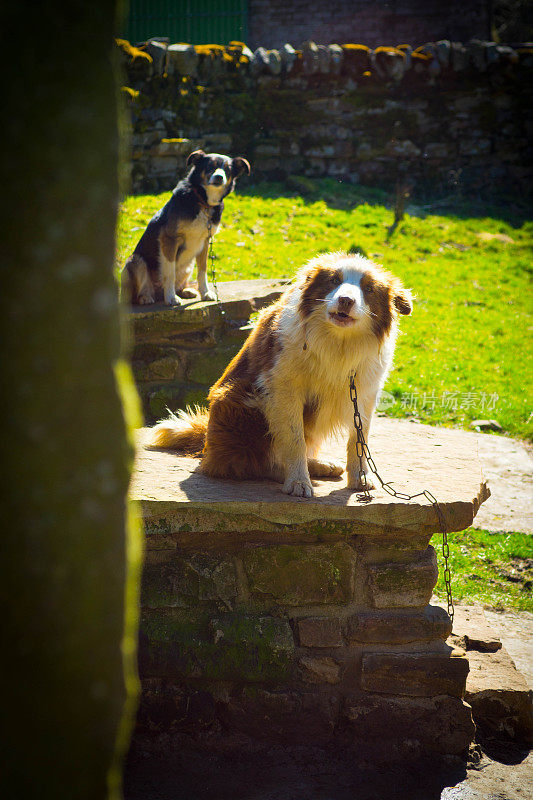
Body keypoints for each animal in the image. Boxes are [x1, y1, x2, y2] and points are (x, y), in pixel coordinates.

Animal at [121, 148, 250, 304]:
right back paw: (146, 297)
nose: (219, 177)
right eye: (210, 166)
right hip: (135, 261)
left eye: (227, 169)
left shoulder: (205, 241)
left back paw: (185, 291)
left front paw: (205, 292)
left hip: (188, 266)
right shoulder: (169, 239)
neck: (203, 202)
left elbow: (203, 270)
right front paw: (171, 298)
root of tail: (157, 294)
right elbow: (170, 272)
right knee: (138, 293)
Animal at [150, 253, 412, 496]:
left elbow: (359, 437)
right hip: (241, 399)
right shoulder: (283, 388)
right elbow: (294, 440)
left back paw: (321, 464)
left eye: (368, 289)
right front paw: (298, 481)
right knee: (252, 462)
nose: (346, 300)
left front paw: (360, 478)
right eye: (334, 280)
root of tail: (207, 444)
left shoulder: (364, 392)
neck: (337, 343)